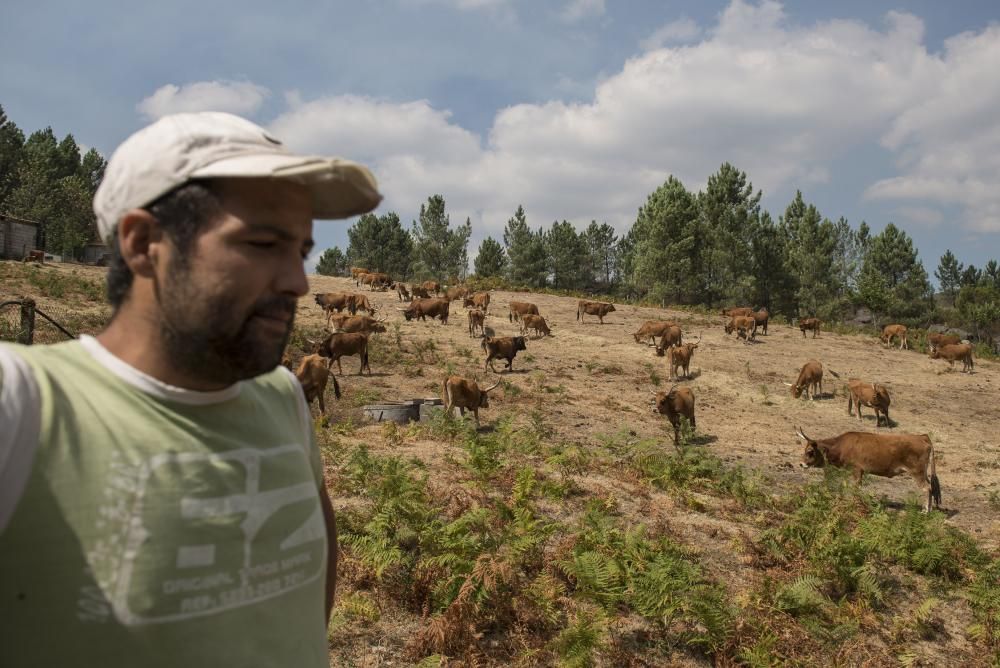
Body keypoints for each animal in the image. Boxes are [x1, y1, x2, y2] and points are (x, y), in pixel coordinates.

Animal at [792, 426, 940, 516]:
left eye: (810, 451)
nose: (801, 464)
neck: (842, 445)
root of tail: (922, 437)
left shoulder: (857, 470)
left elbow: (855, 488)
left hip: (917, 472)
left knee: (927, 488)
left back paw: (926, 511)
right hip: (923, 473)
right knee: (931, 487)